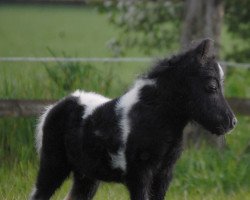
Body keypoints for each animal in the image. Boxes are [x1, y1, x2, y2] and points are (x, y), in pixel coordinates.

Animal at [28, 39, 236, 200]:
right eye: (211, 86)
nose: (232, 122)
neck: (153, 118)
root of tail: (53, 108)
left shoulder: (163, 175)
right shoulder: (139, 176)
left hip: (86, 177)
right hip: (53, 166)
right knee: (38, 194)